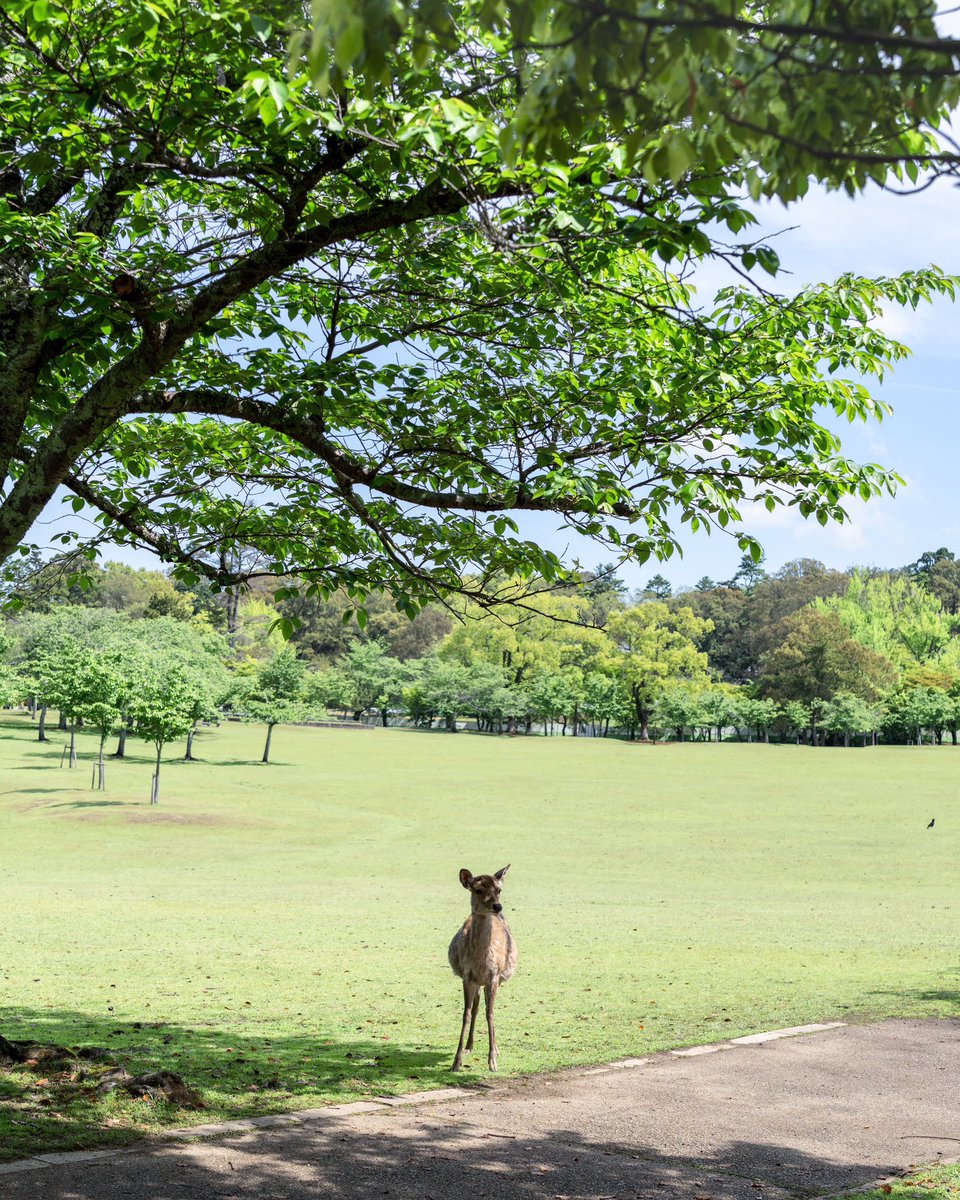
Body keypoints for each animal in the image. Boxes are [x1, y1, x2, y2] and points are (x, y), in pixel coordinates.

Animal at [448, 864, 518, 1070]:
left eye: (499, 890)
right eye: (478, 890)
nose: (497, 906)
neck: (480, 961)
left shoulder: (494, 976)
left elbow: (490, 1013)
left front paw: (492, 1060)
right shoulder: (467, 976)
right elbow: (467, 1013)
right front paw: (456, 1061)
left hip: (497, 979)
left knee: (487, 1007)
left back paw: (496, 1048)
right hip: (477, 983)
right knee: (477, 1006)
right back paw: (469, 1046)